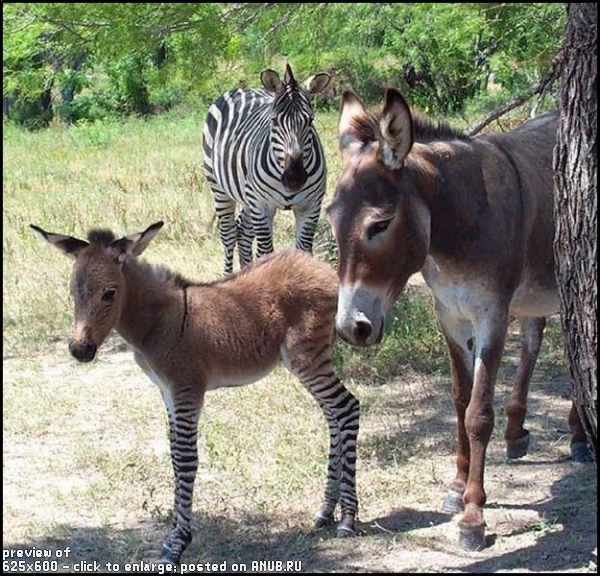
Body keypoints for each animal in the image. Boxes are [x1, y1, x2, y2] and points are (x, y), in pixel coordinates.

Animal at [31, 220, 356, 564]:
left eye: (109, 293)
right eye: (72, 294)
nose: (79, 351)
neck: (158, 323)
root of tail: (321, 267)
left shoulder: (187, 390)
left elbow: (186, 460)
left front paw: (177, 544)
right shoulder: (167, 393)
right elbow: (174, 457)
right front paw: (174, 535)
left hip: (307, 358)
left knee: (347, 407)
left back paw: (348, 518)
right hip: (313, 359)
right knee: (334, 416)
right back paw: (326, 512)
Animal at [204, 63, 330, 274]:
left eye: (310, 121)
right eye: (274, 121)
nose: (294, 178)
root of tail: (242, 89)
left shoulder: (311, 206)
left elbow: (303, 251)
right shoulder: (262, 205)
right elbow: (266, 253)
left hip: (247, 196)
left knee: (243, 232)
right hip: (220, 188)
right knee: (228, 235)